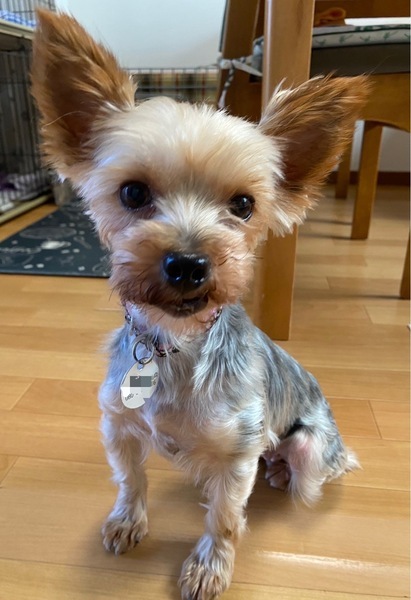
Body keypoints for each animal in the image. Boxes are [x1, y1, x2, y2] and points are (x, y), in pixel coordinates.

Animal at [31, 10, 368, 599]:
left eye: (244, 204)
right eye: (133, 192)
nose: (188, 264)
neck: (174, 344)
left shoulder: (237, 454)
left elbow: (225, 517)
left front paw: (211, 566)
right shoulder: (118, 424)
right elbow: (130, 477)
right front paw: (127, 520)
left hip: (311, 446)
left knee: (308, 471)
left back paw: (284, 471)